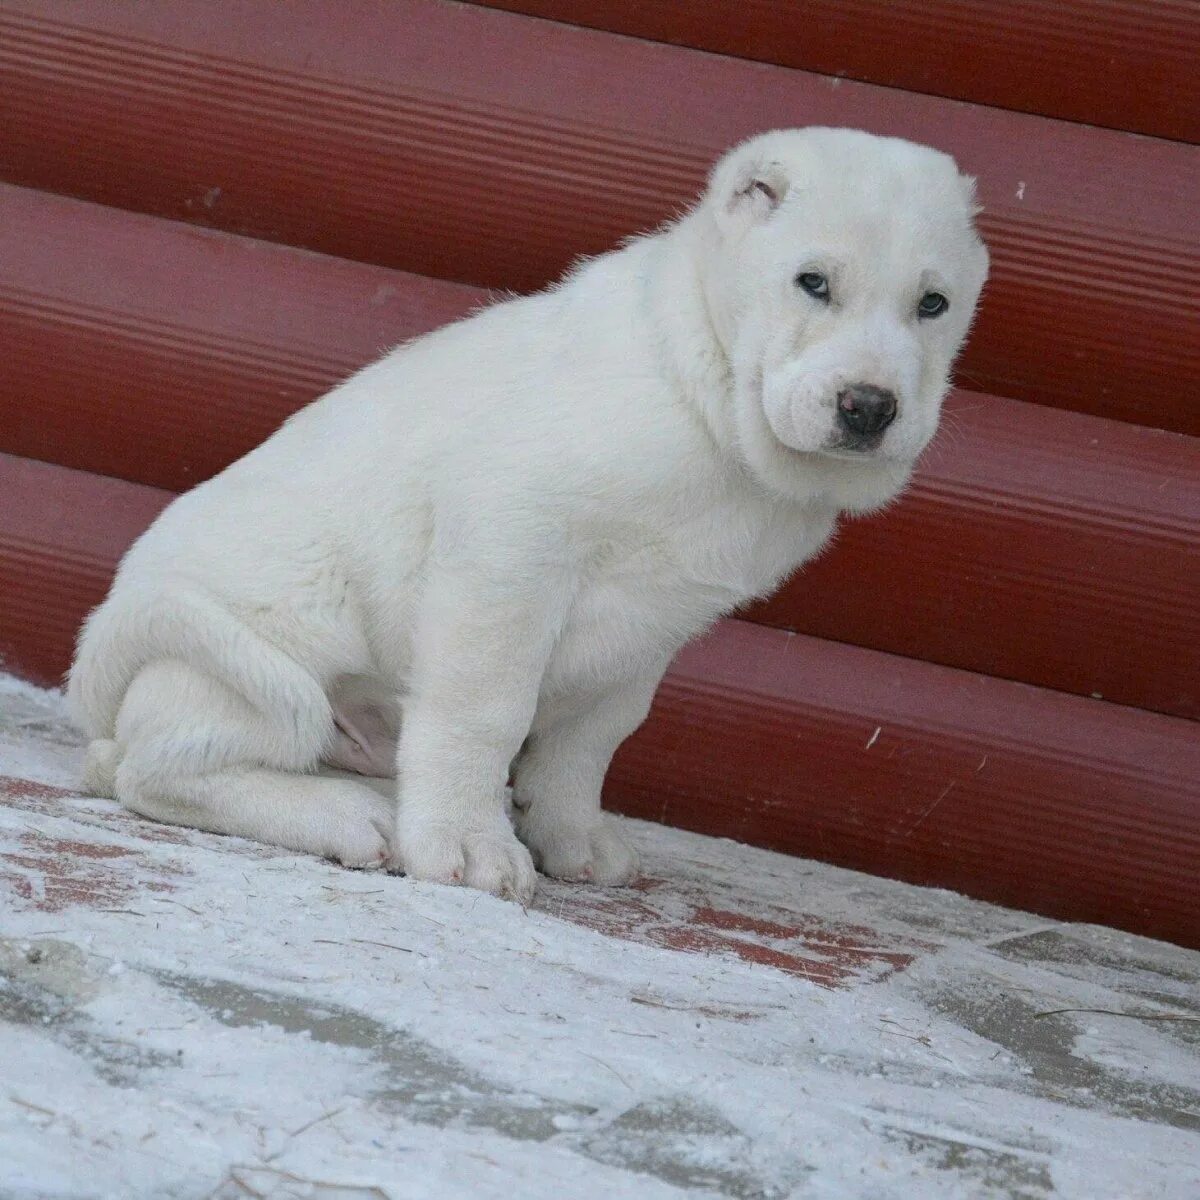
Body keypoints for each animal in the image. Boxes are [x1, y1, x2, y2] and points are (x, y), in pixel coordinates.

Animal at [68, 131, 984, 902]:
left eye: (933, 305)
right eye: (813, 283)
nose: (870, 407)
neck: (705, 391)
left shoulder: (657, 621)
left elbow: (595, 737)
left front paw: (570, 837)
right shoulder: (510, 551)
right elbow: (487, 712)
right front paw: (469, 844)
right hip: (245, 652)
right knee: (151, 769)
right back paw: (343, 815)